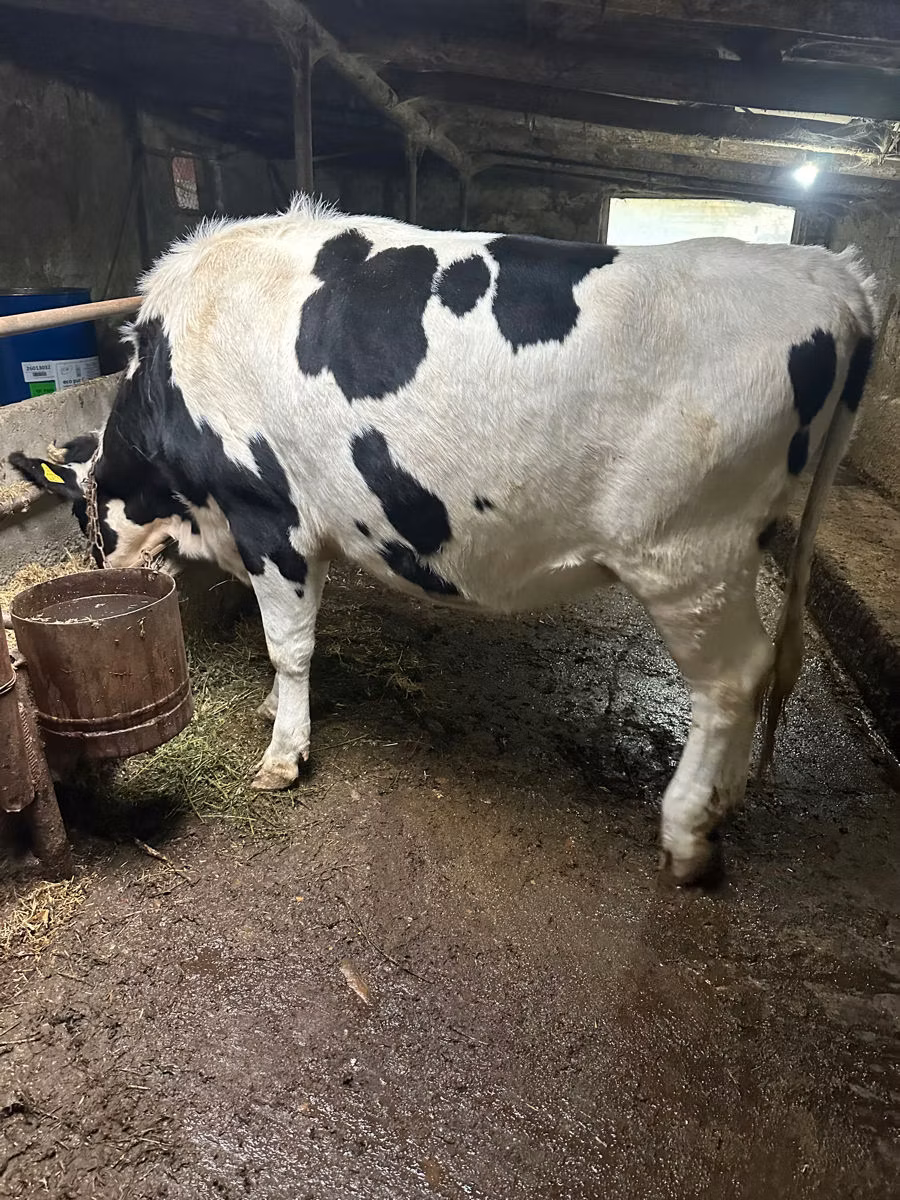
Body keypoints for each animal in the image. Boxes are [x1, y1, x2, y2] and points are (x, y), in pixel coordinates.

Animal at [10, 197, 877, 883]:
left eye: (83, 518)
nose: (95, 558)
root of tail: (826, 271)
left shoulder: (267, 513)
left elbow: (287, 644)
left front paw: (283, 755)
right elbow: (294, 634)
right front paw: (272, 710)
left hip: (690, 553)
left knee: (732, 680)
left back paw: (689, 834)